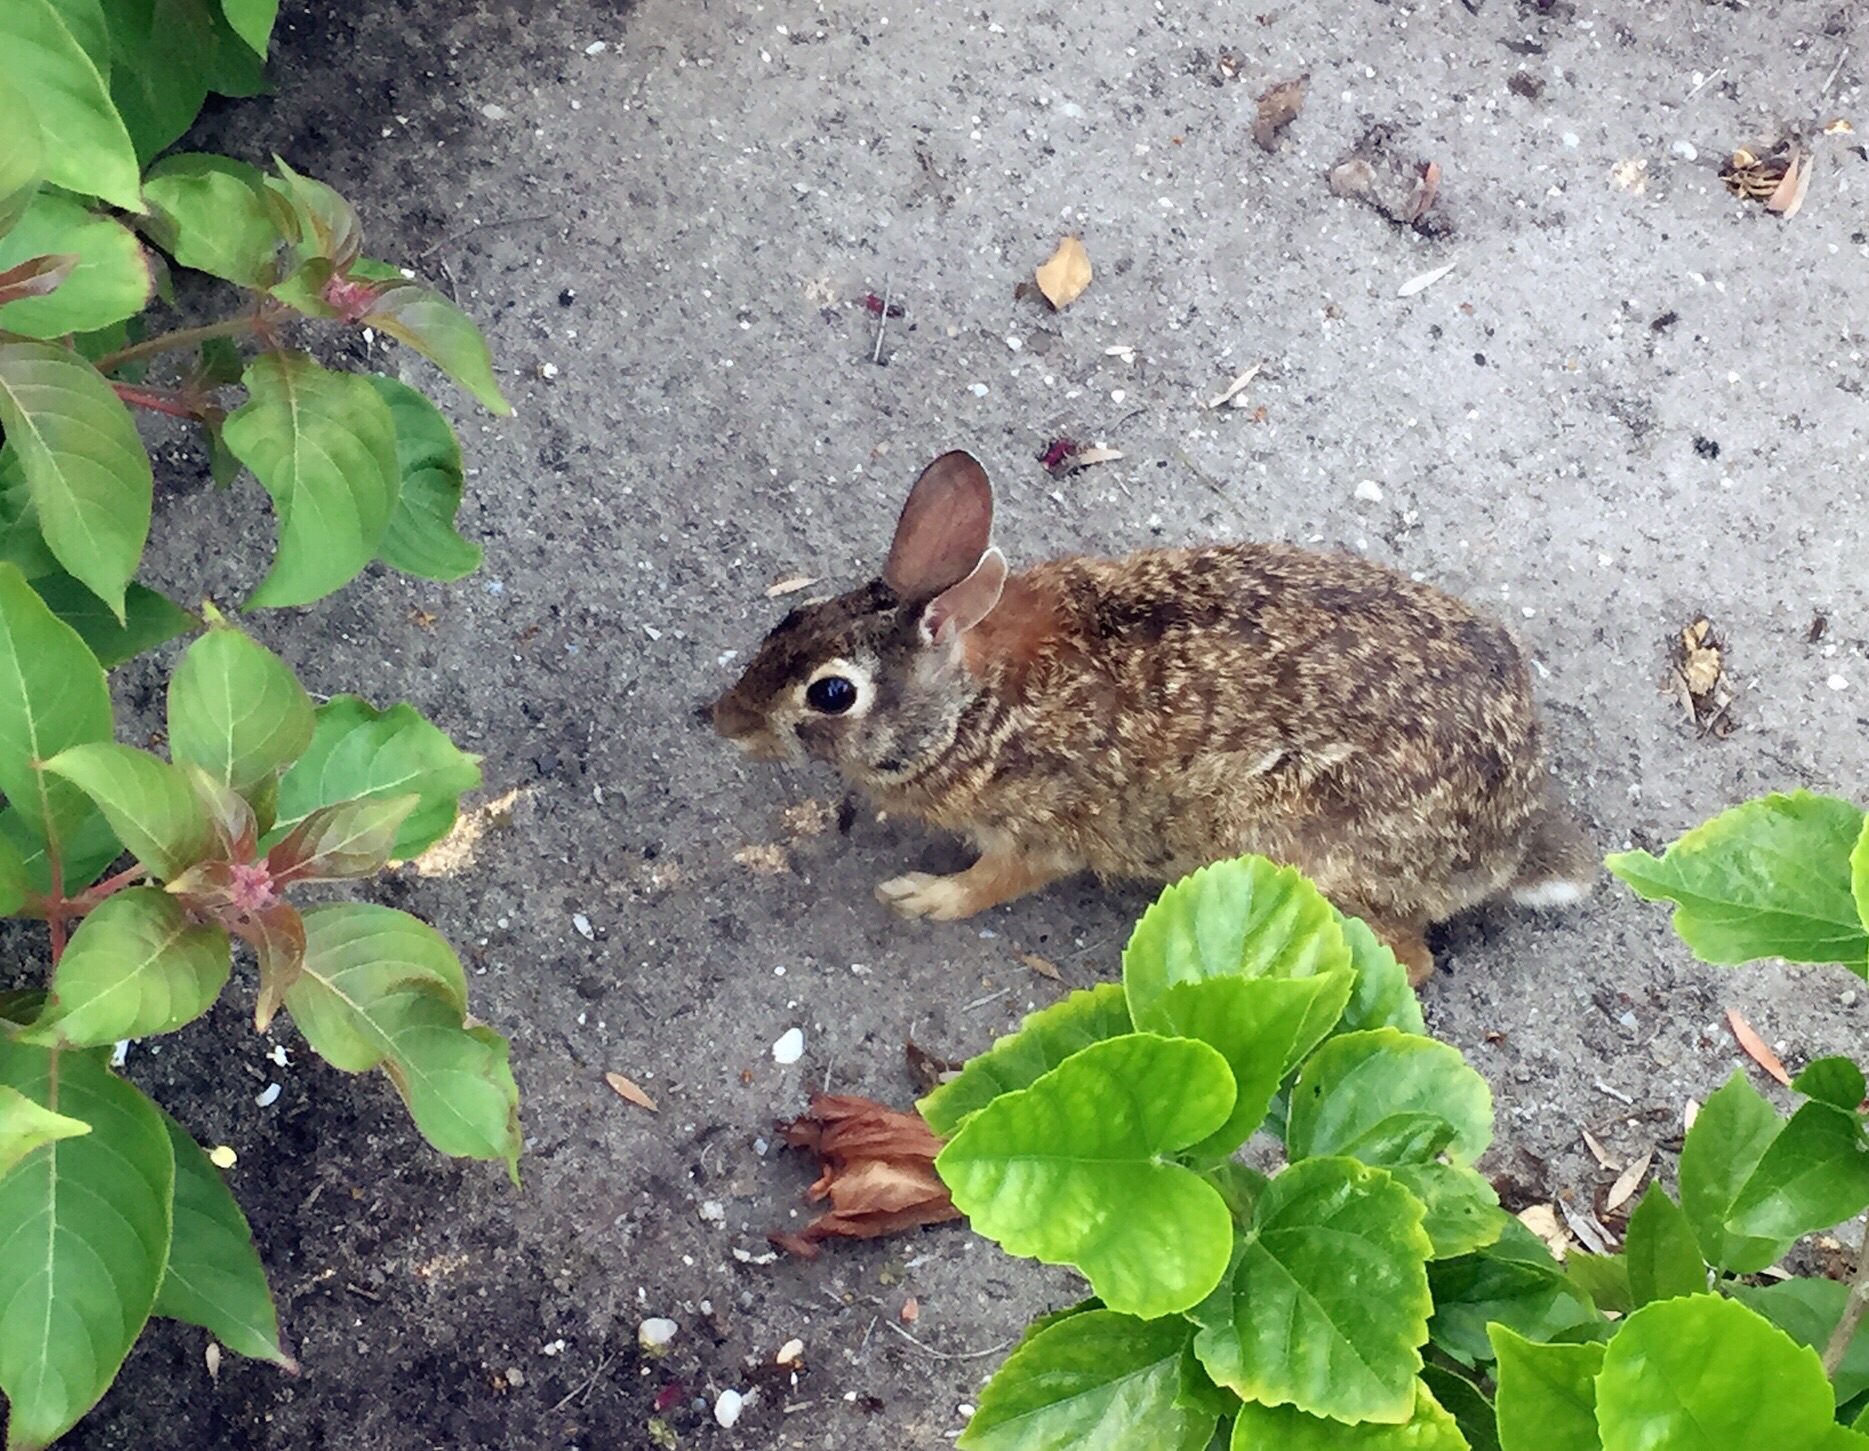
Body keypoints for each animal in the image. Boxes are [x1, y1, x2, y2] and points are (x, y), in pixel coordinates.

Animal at [706, 446, 1599, 979]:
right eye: (790, 619)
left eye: (831, 692)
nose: (723, 721)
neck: (967, 704)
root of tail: (1509, 841)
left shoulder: (1038, 831)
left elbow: (993, 883)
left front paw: (920, 897)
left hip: (1295, 842)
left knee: (1407, 960)